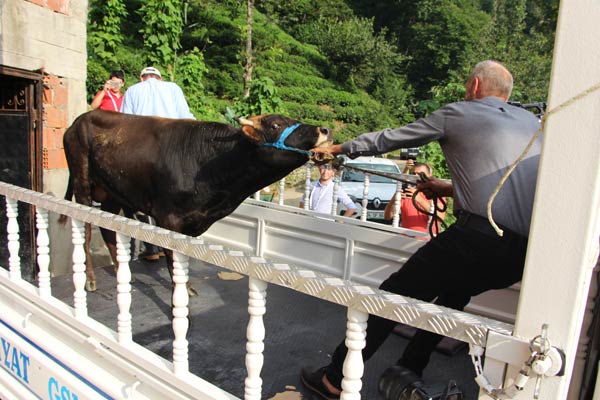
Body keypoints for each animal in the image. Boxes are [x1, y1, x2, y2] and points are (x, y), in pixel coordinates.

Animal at [61, 111, 332, 292]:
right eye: (276, 124)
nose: (324, 130)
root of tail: (79, 120)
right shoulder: (167, 218)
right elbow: (173, 259)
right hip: (82, 183)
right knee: (86, 229)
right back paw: (90, 280)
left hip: (111, 192)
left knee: (107, 229)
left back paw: (121, 271)